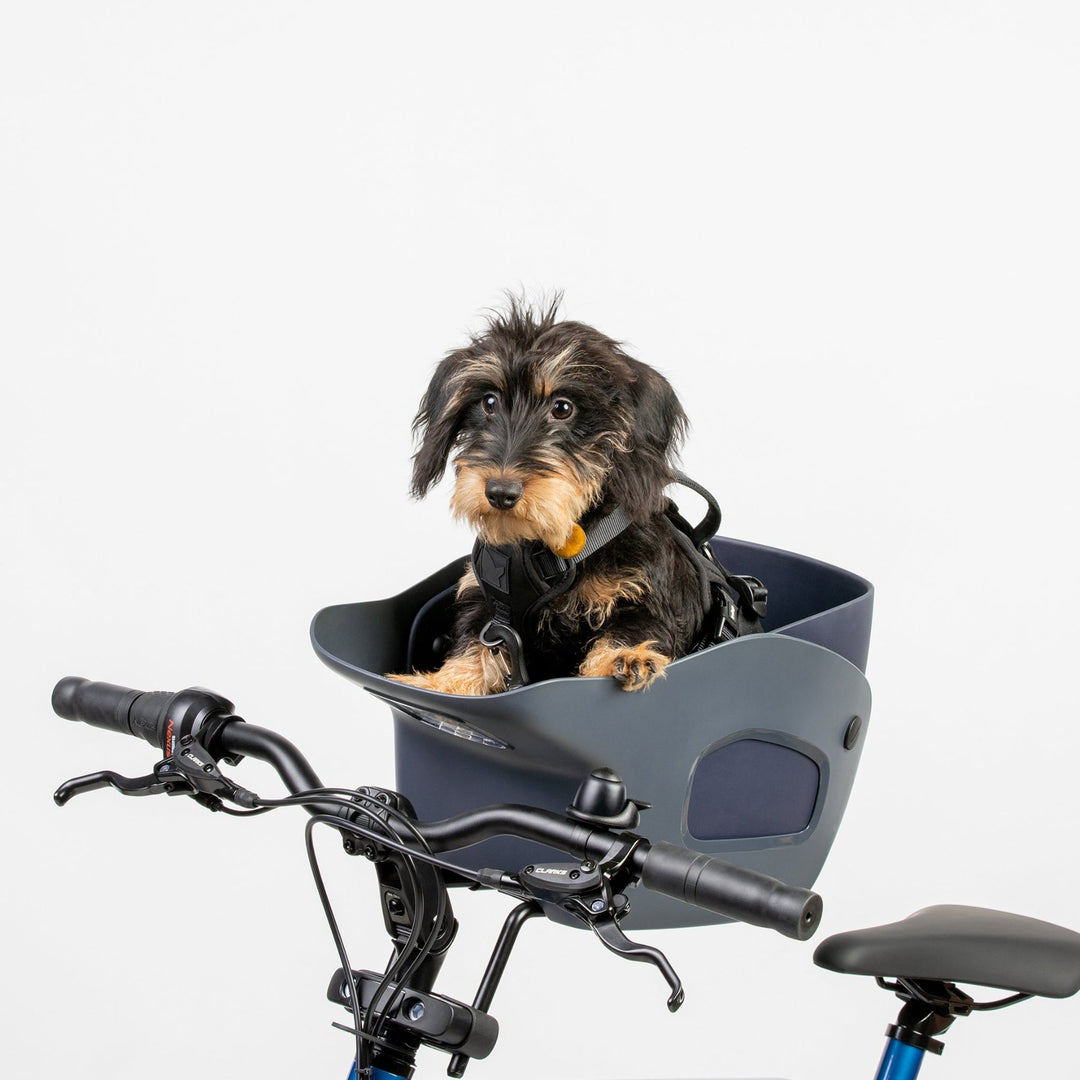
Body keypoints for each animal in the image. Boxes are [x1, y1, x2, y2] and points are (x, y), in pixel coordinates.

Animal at [388, 300, 717, 695]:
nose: (500, 493)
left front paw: (625, 657)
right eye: (488, 401)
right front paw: (440, 684)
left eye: (562, 407)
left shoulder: (647, 596)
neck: (552, 548)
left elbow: (635, 628)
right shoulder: (489, 611)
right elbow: (474, 647)